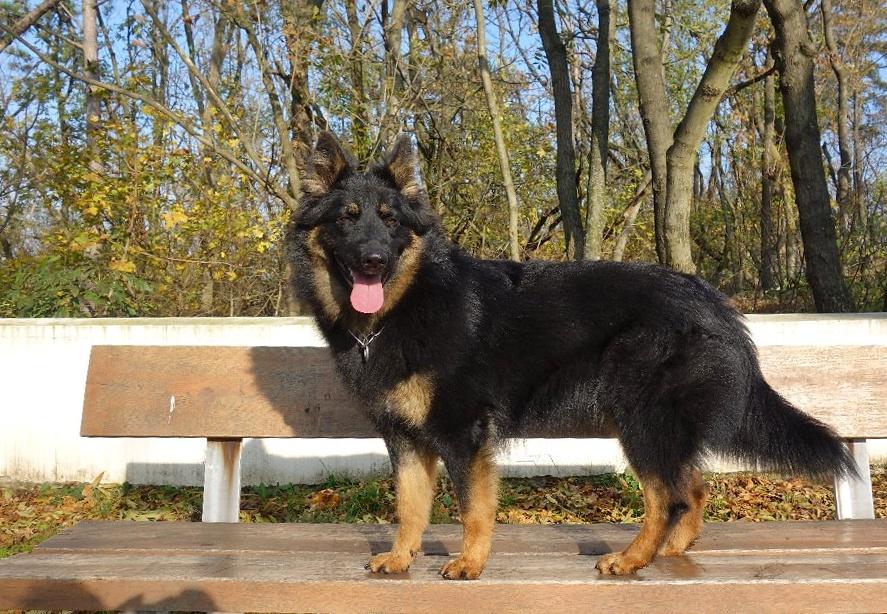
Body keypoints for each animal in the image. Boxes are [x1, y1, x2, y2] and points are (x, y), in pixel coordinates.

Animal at [286, 132, 855, 579]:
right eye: (347, 218)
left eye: (389, 220)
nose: (373, 260)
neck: (405, 305)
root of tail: (714, 301)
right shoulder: (405, 439)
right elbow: (409, 506)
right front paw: (402, 557)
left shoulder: (462, 433)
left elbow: (473, 508)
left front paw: (470, 562)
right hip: (659, 428)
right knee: (690, 491)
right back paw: (667, 553)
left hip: (640, 421)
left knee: (667, 497)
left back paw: (632, 559)